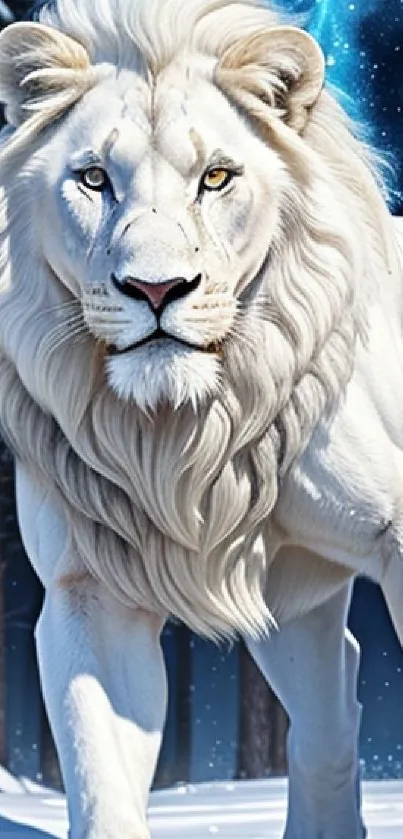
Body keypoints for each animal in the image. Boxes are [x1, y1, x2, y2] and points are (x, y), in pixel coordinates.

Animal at [0, 0, 400, 836]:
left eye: (215, 177)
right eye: (94, 178)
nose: (156, 289)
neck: (184, 438)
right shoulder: (89, 589)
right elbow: (101, 781)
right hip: (286, 594)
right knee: (330, 695)